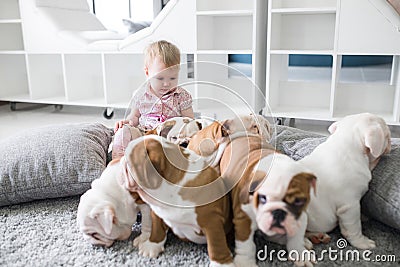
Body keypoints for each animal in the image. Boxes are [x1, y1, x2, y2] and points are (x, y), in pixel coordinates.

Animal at [122, 136, 234, 267]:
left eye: (129, 162)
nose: (121, 161)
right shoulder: (157, 212)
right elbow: (157, 229)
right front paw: (152, 245)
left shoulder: (212, 221)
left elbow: (216, 244)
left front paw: (222, 263)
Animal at [300, 112, 390, 249]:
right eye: (387, 133)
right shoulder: (350, 206)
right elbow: (354, 228)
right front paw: (362, 242)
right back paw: (305, 242)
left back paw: (317, 236)